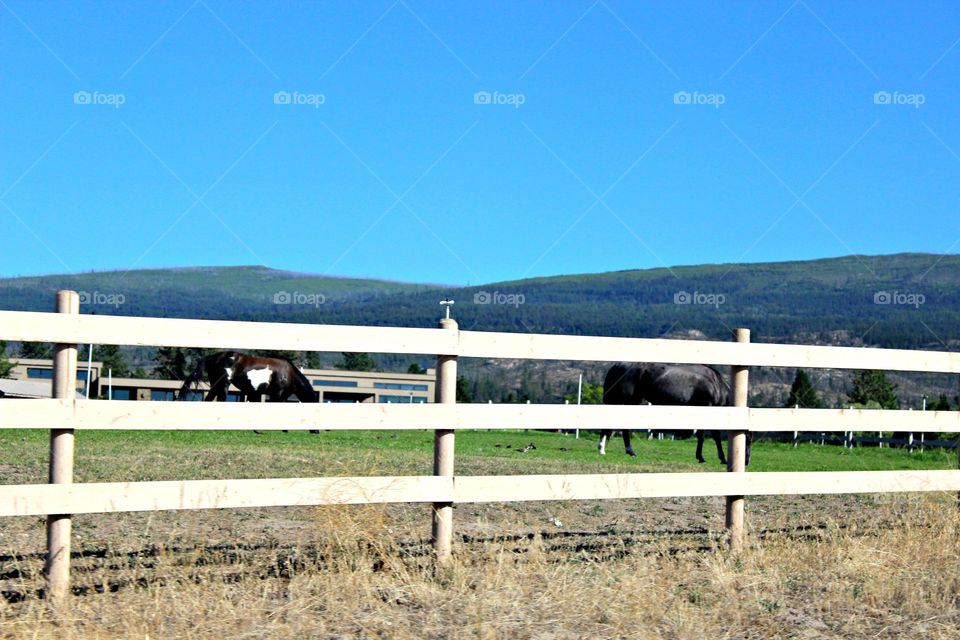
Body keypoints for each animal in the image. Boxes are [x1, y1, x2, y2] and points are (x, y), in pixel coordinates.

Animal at [599, 362, 751, 465]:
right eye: (748, 440)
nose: (747, 461)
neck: (716, 385)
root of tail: (618, 365)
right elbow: (713, 436)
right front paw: (719, 458)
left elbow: (702, 436)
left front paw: (701, 457)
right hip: (627, 401)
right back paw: (623, 450)